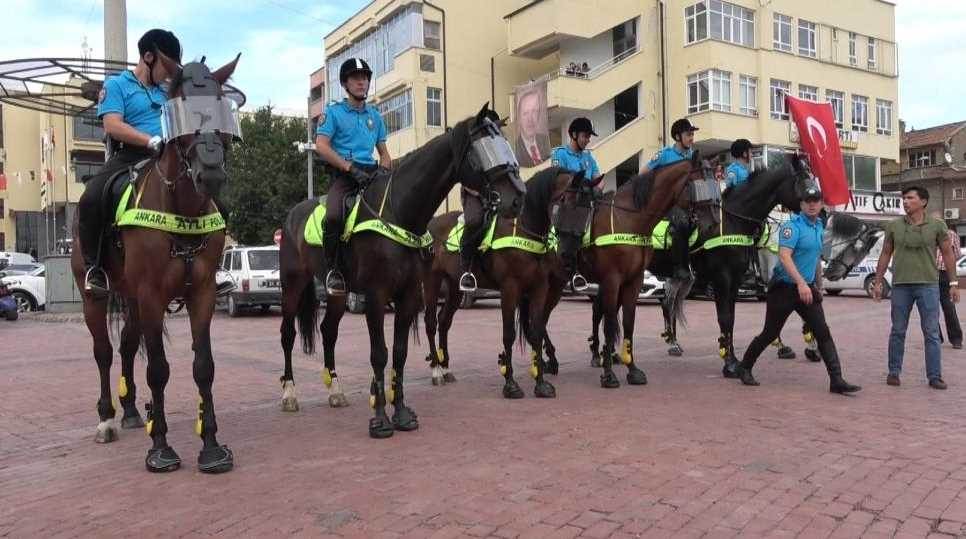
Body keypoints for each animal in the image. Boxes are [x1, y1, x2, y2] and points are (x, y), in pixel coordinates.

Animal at [71, 52, 242, 474]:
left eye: (221, 107)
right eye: (178, 108)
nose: (210, 173)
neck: (181, 210)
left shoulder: (201, 294)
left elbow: (204, 366)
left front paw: (210, 445)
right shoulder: (151, 296)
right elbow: (159, 370)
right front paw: (161, 447)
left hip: (131, 299)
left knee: (127, 347)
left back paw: (133, 410)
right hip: (95, 296)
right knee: (103, 351)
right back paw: (107, 418)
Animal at [276, 104, 524, 438]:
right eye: (484, 148)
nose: (519, 197)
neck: (400, 213)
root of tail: (292, 215)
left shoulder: (407, 297)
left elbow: (400, 352)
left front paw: (402, 413)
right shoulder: (376, 296)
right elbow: (379, 354)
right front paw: (381, 419)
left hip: (338, 292)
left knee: (328, 332)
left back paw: (336, 390)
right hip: (293, 285)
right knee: (288, 334)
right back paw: (290, 394)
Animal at [422, 167, 588, 398]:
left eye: (588, 208)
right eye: (566, 201)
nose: (569, 254)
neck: (524, 229)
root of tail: (431, 223)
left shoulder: (539, 288)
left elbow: (536, 330)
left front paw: (540, 383)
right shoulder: (511, 289)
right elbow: (509, 334)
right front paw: (510, 384)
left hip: (455, 286)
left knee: (444, 321)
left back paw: (446, 369)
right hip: (432, 280)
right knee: (430, 322)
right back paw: (437, 370)